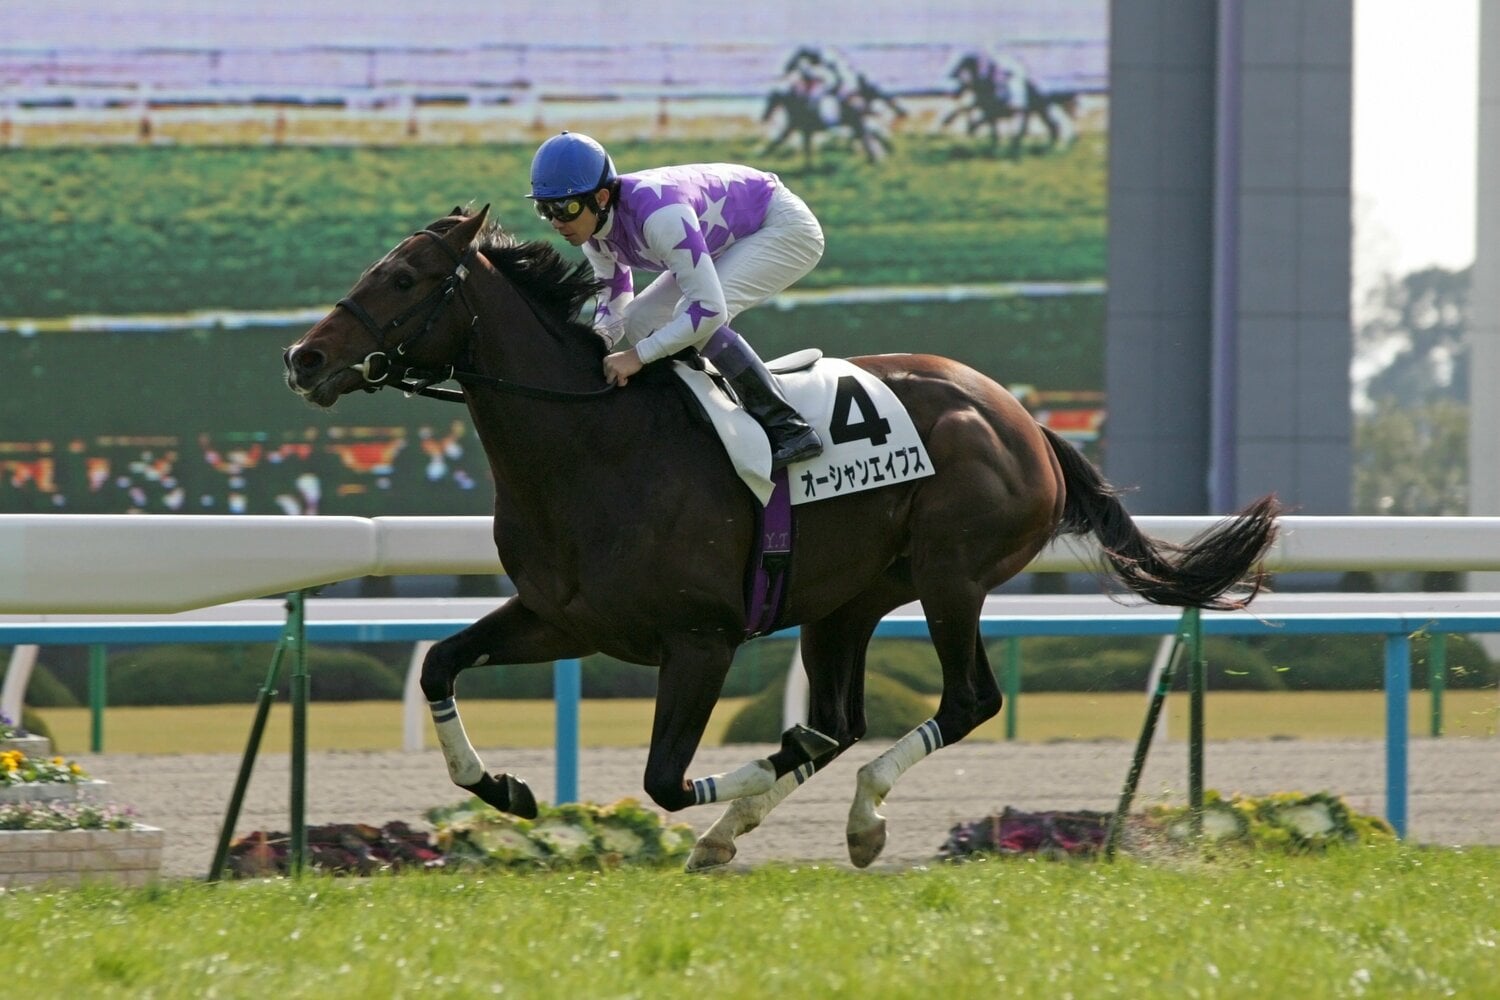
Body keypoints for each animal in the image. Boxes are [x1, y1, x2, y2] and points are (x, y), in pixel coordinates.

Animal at [283, 206, 1281, 870]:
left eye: (404, 279)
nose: (304, 357)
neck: (594, 447)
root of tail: (1023, 420)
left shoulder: (702, 640)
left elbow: (665, 780)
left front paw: (743, 792)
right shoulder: (561, 618)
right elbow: (440, 664)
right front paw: (507, 788)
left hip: (950, 575)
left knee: (964, 702)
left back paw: (857, 820)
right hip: (849, 599)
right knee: (844, 716)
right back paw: (770, 820)